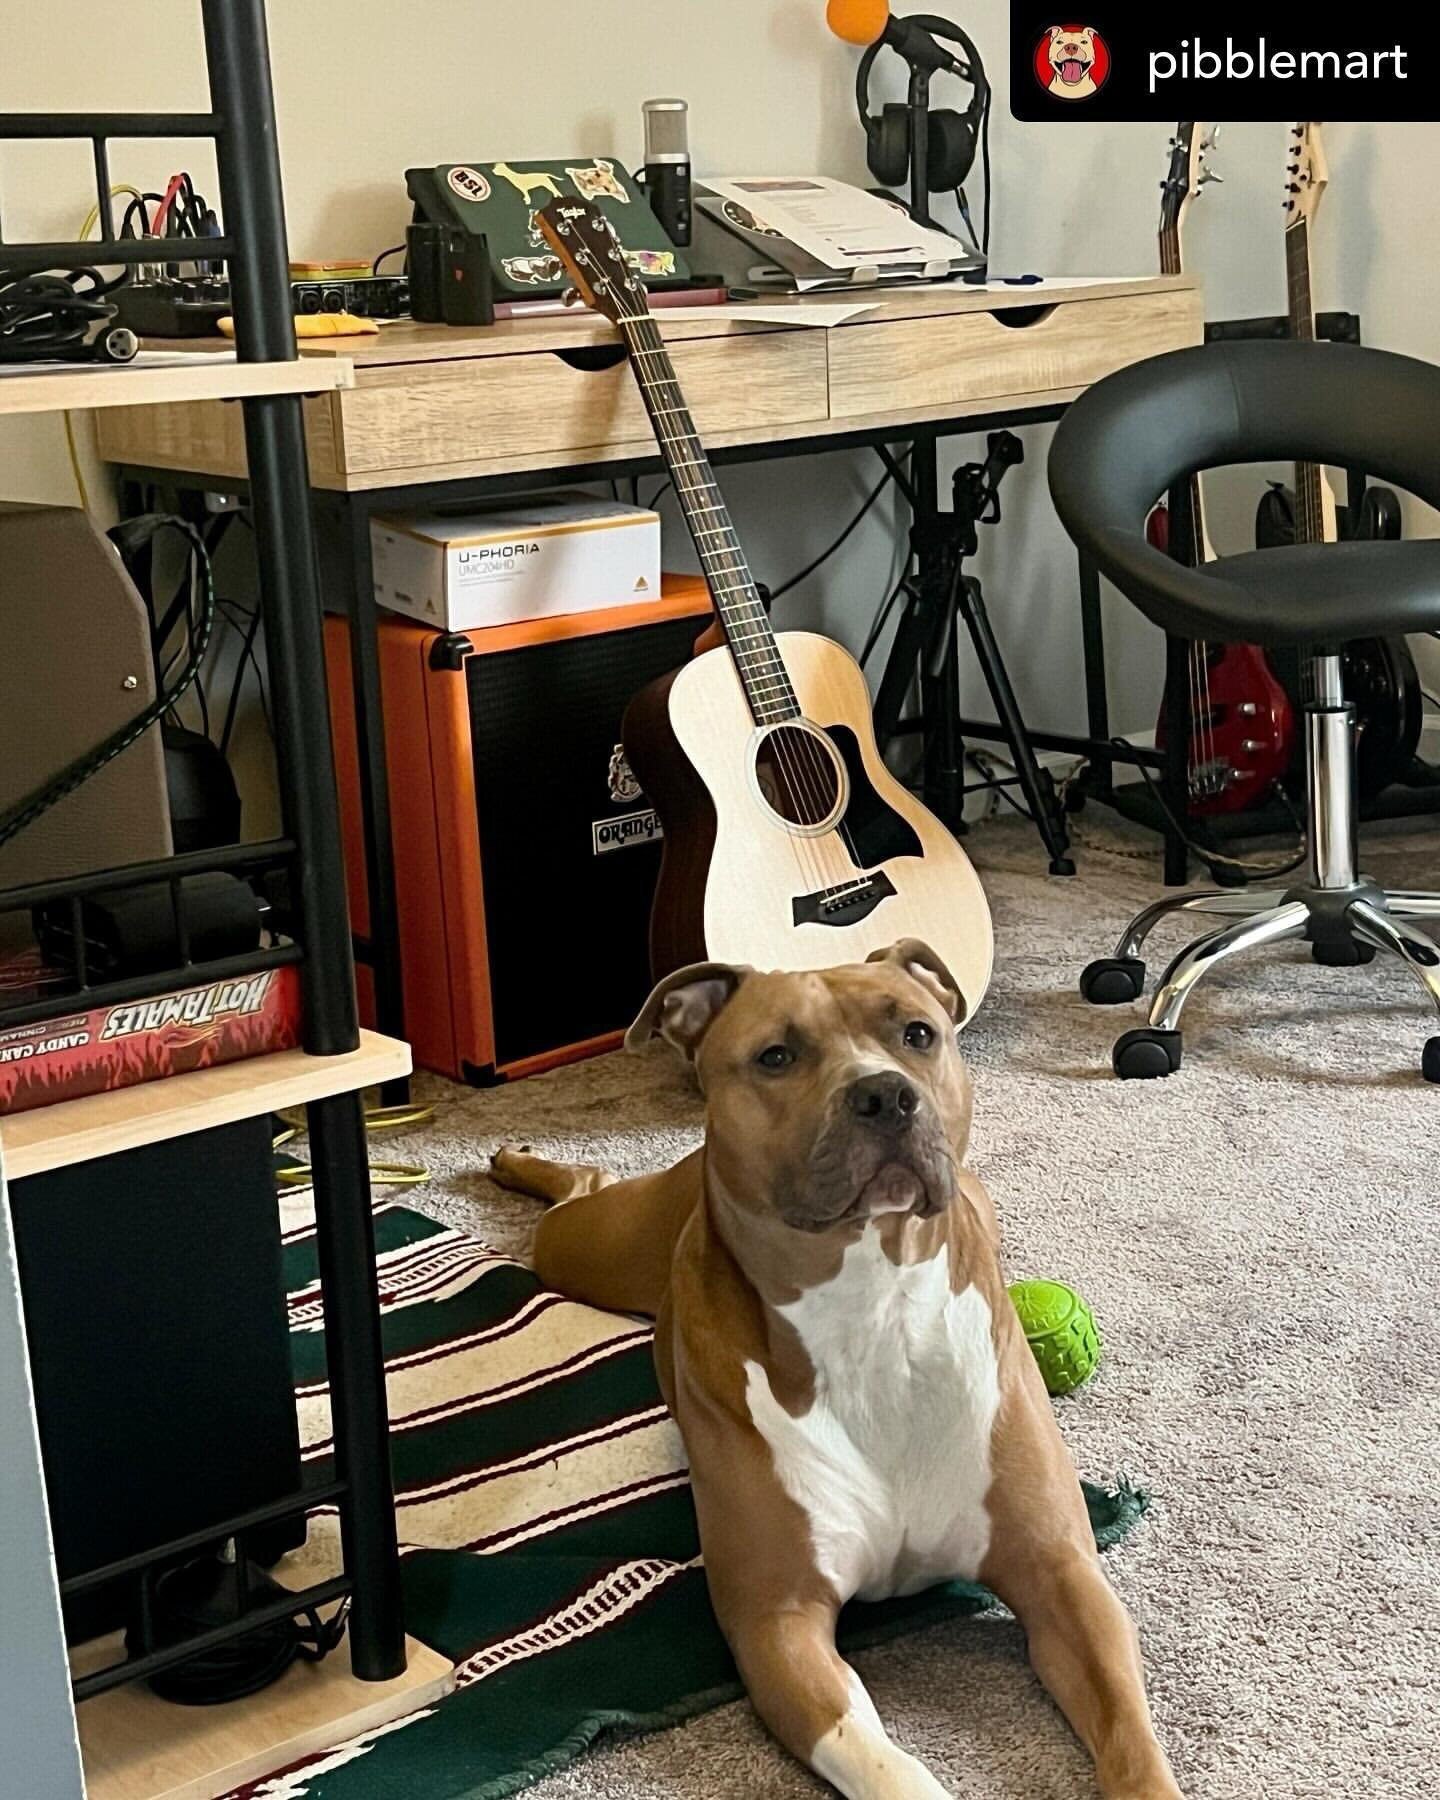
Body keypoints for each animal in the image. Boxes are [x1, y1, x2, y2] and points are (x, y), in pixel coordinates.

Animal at [493, 950, 1180, 1792]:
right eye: (775, 1056)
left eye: (917, 1033)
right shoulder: (777, 1625)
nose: (885, 1094)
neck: (873, 1309)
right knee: (580, 1193)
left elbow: (1130, 1733)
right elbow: (887, 1765)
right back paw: (517, 1160)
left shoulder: (1061, 1575)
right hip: (597, 1246)